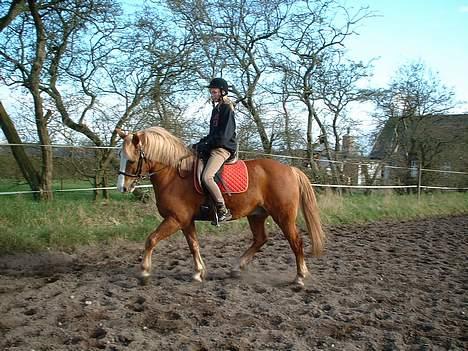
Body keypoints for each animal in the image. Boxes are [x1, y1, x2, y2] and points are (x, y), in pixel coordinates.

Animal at [115, 126, 324, 286]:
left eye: (131, 160)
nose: (122, 188)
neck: (174, 175)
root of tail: (290, 169)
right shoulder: (185, 221)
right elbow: (193, 245)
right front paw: (198, 273)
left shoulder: (175, 219)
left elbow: (151, 239)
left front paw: (144, 272)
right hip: (256, 214)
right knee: (260, 239)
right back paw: (236, 268)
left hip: (283, 216)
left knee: (295, 241)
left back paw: (299, 277)